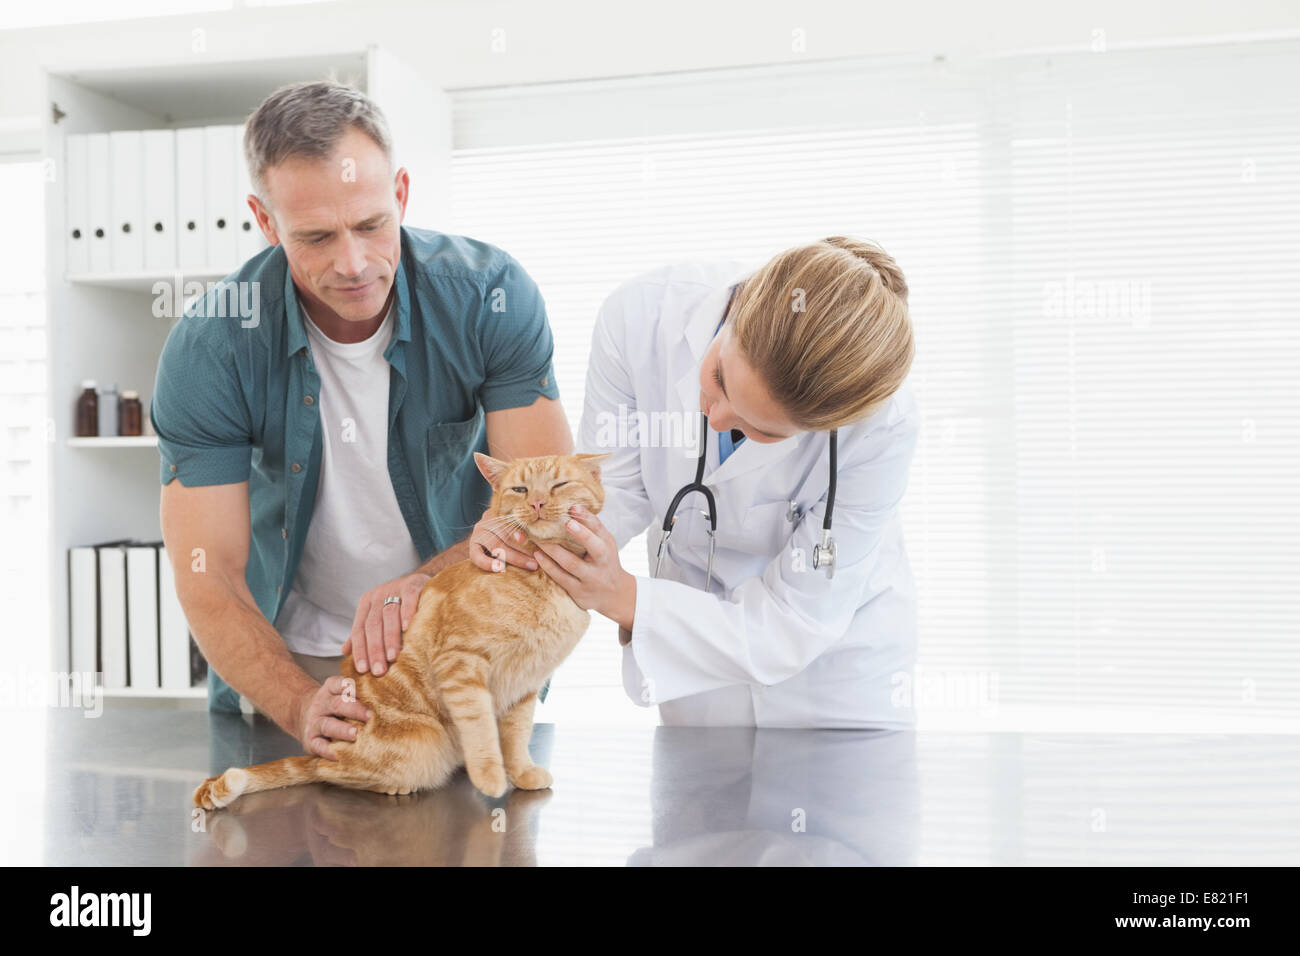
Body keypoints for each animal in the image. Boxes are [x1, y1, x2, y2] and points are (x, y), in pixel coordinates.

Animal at [192, 452, 608, 811]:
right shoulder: (461, 664)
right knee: (331, 772)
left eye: (558, 485)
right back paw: (393, 785)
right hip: (424, 741)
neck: (541, 579)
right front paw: (490, 777)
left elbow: (518, 736)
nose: (536, 504)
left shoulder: (525, 685)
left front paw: (521, 773)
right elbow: (481, 731)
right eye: (520, 490)